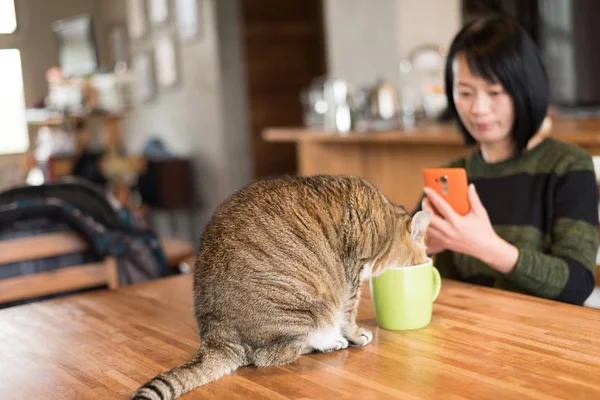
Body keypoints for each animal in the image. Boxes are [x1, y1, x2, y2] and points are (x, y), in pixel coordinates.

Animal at [132, 173, 432, 398]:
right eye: (425, 254)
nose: (428, 260)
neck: (386, 224)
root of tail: (215, 335)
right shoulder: (353, 273)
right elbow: (349, 314)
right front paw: (356, 335)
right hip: (304, 305)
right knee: (271, 355)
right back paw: (330, 342)